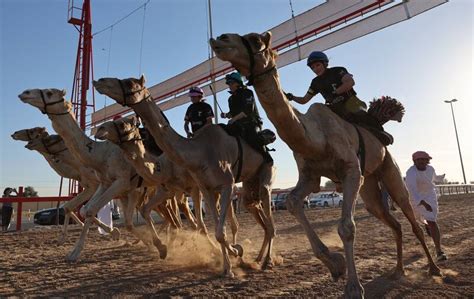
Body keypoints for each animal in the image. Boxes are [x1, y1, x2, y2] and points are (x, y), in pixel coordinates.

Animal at [18, 89, 167, 262]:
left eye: (49, 92)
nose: (24, 93)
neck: (99, 154)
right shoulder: (110, 186)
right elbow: (82, 209)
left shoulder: (114, 184)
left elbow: (88, 210)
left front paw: (76, 251)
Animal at [93, 76, 276, 278]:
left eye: (130, 83)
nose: (99, 81)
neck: (199, 153)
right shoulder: (203, 188)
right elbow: (215, 230)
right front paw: (228, 264)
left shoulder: (221, 185)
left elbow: (213, 228)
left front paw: (235, 254)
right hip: (249, 184)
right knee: (255, 211)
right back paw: (257, 258)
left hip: (265, 175)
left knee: (268, 222)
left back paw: (267, 261)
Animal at [210, 31, 440, 298]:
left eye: (256, 40)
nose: (221, 39)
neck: (315, 138)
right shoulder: (310, 176)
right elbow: (292, 202)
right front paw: (336, 265)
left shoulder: (351, 171)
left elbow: (347, 227)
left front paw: (353, 288)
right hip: (370, 188)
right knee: (393, 223)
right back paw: (398, 271)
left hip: (388, 170)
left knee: (411, 217)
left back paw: (434, 268)